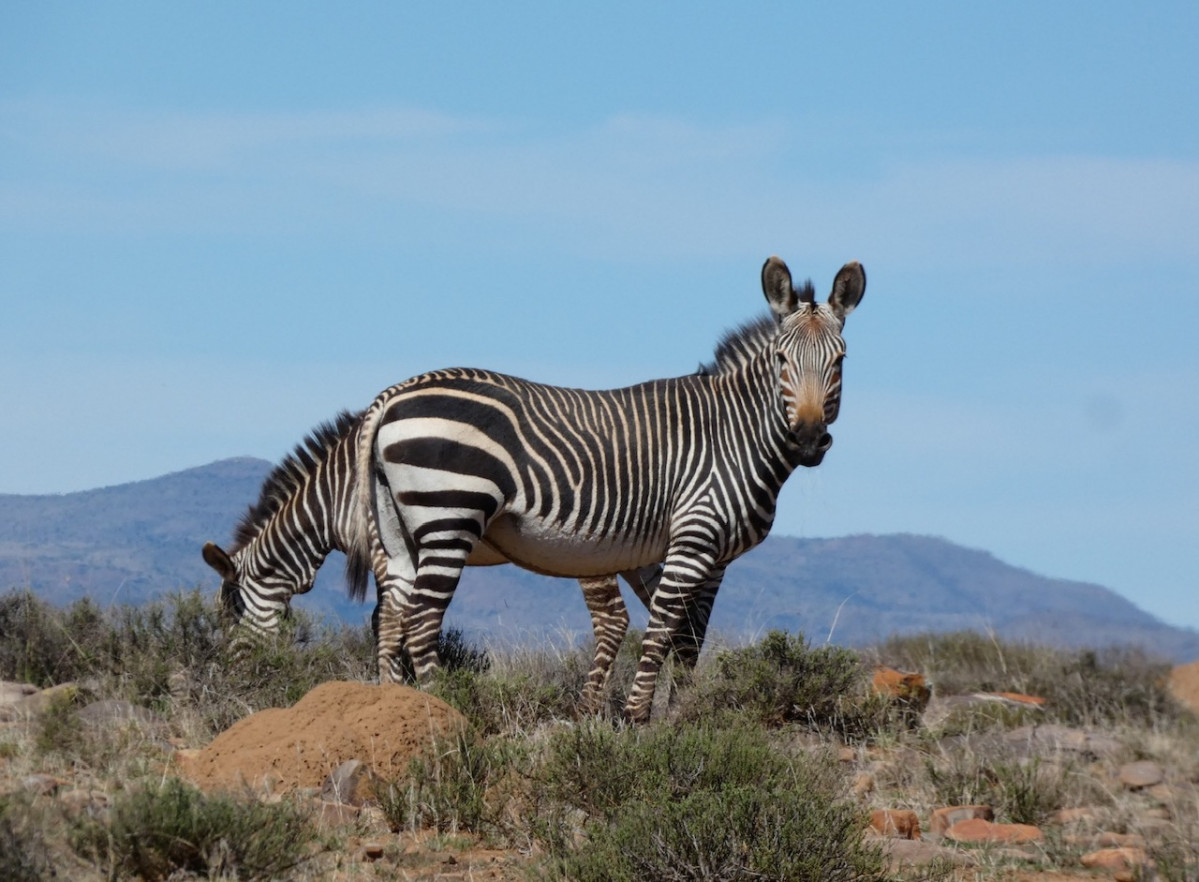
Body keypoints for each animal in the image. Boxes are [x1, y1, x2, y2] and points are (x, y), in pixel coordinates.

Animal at [201, 411, 660, 712]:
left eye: (230, 615)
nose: (231, 687)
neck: (335, 496)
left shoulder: (384, 551)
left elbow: (384, 619)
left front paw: (397, 687)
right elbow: (391, 618)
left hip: (589, 550)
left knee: (614, 618)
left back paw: (587, 711)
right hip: (635, 549)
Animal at [348, 255, 866, 723]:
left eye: (840, 361)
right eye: (781, 359)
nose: (808, 439)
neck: (734, 433)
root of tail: (392, 394)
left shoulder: (714, 558)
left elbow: (690, 638)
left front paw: (683, 716)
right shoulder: (693, 539)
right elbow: (661, 630)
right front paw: (637, 717)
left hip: (399, 532)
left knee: (391, 618)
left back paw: (392, 709)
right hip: (450, 516)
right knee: (420, 621)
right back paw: (442, 708)